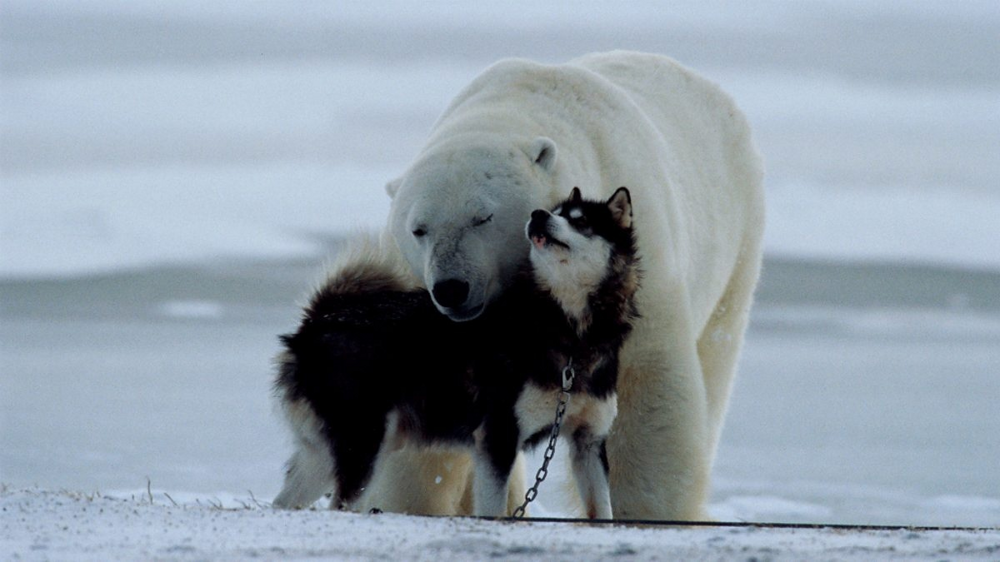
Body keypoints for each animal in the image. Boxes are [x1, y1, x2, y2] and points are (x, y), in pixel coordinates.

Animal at [364, 50, 760, 520]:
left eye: (483, 217)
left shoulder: (633, 273)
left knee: (716, 354)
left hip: (737, 242)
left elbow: (645, 396)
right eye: (418, 229)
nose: (450, 288)